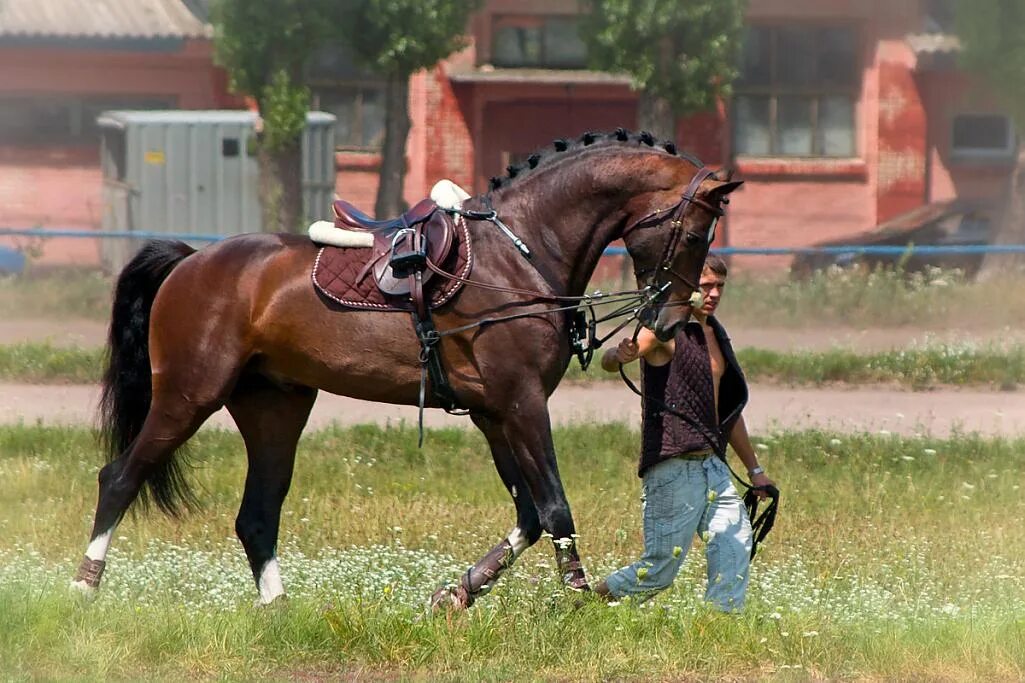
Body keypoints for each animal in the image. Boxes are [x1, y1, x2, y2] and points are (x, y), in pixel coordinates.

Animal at [74, 129, 746, 607]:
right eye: (695, 235)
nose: (666, 322)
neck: (522, 250)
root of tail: (191, 261)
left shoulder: (494, 412)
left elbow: (529, 515)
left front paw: (456, 594)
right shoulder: (522, 403)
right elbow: (554, 508)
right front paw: (579, 606)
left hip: (275, 408)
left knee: (256, 515)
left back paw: (279, 611)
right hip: (189, 395)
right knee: (119, 478)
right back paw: (84, 587)